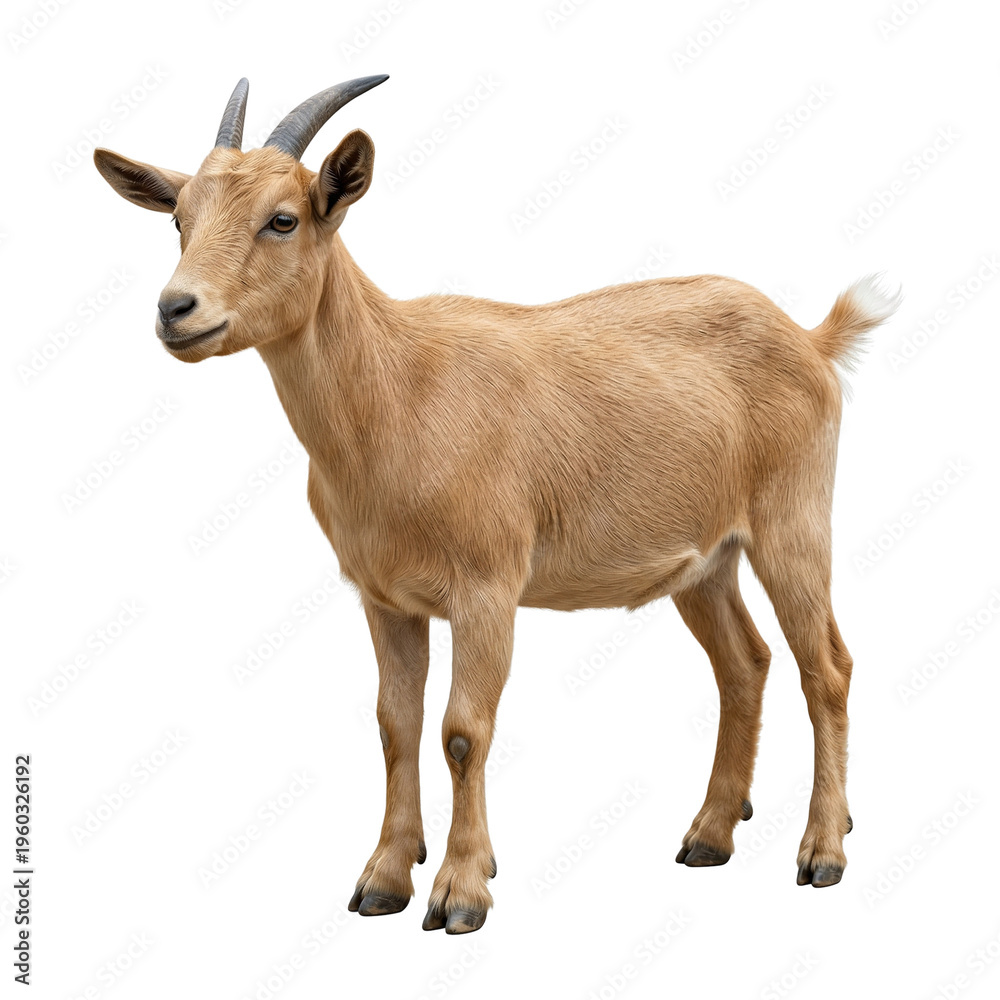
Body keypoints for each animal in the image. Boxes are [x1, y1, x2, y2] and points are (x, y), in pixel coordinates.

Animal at [94, 76, 898, 934]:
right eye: (178, 218)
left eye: (283, 218)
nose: (176, 309)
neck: (397, 394)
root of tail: (810, 339)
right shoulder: (385, 598)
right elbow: (396, 725)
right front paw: (383, 879)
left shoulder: (487, 586)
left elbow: (461, 732)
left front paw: (460, 892)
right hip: (705, 560)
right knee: (745, 663)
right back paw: (709, 836)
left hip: (793, 520)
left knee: (828, 667)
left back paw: (823, 852)